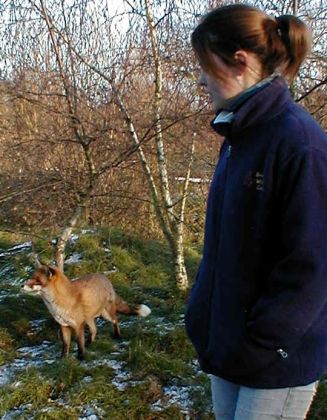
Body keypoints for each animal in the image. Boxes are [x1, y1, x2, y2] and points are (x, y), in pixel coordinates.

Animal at [22, 266, 152, 358]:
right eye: (32, 277)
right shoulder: (63, 325)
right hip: (89, 319)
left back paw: (117, 336)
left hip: (107, 315)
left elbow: (79, 343)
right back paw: (90, 343)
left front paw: (81, 357)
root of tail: (105, 279)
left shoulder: (78, 325)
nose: (22, 285)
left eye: (37, 281)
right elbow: (65, 345)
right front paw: (63, 359)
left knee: (116, 321)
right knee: (94, 330)